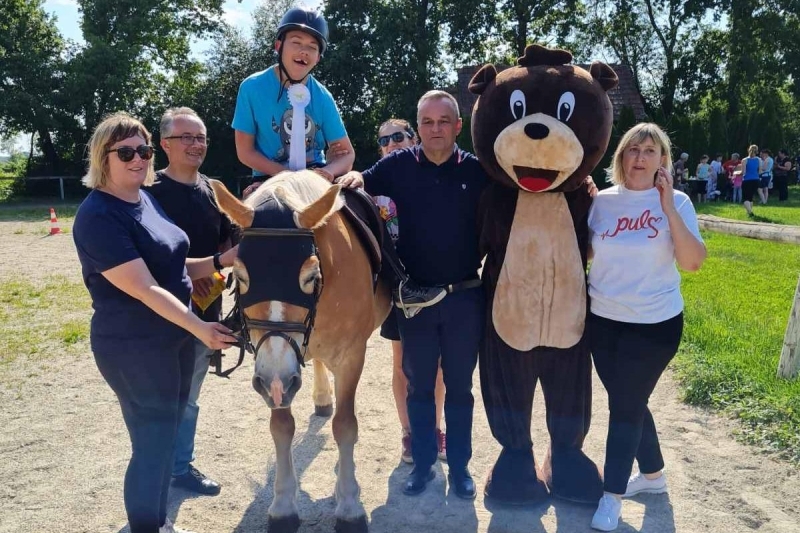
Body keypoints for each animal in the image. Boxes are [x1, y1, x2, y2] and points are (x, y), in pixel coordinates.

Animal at [209, 171, 390, 532]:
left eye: (311, 276)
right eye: (242, 277)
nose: (278, 382)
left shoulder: (351, 357)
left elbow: (345, 426)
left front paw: (349, 505)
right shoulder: (272, 371)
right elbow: (281, 427)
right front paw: (283, 506)